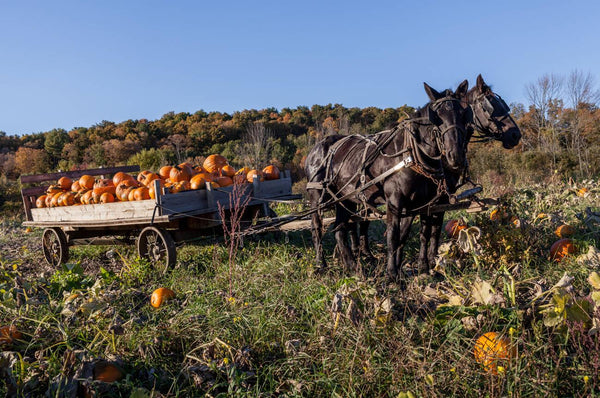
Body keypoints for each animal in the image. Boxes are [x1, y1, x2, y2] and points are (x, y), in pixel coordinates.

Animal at [304, 76, 520, 278]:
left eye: (463, 113)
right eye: (489, 106)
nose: (515, 135)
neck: (413, 154)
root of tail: (318, 147)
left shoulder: (427, 202)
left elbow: (421, 234)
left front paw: (426, 266)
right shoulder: (397, 202)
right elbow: (395, 236)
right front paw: (393, 274)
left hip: (346, 198)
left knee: (342, 227)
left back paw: (353, 265)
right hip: (317, 197)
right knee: (318, 228)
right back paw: (322, 264)